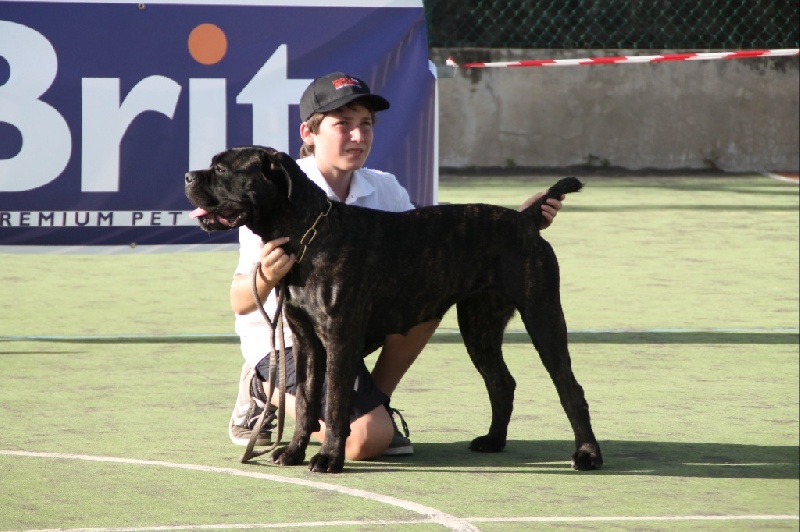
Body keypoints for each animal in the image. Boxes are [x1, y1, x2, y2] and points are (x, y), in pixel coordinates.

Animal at [186, 147, 600, 474]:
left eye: (221, 169)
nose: (188, 175)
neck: (307, 234)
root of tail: (525, 219)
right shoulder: (306, 342)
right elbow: (305, 402)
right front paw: (293, 452)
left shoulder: (339, 339)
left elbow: (334, 403)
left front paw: (329, 458)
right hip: (479, 326)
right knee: (501, 383)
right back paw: (494, 440)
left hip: (543, 316)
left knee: (570, 388)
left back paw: (587, 454)